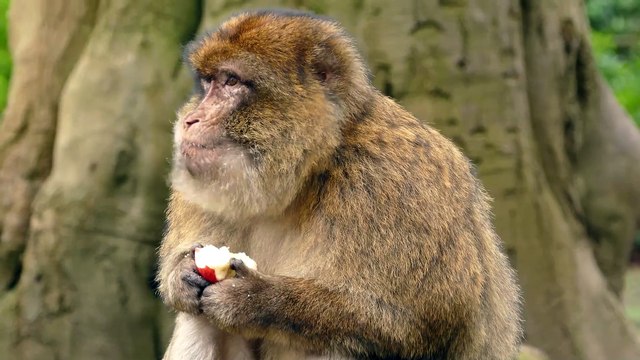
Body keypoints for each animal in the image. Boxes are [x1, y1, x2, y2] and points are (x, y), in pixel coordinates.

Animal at [158, 8, 524, 360]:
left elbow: (420, 325)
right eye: (208, 83)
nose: (191, 120)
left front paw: (254, 298)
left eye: (232, 81)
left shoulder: (394, 184)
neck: (310, 172)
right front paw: (181, 273)